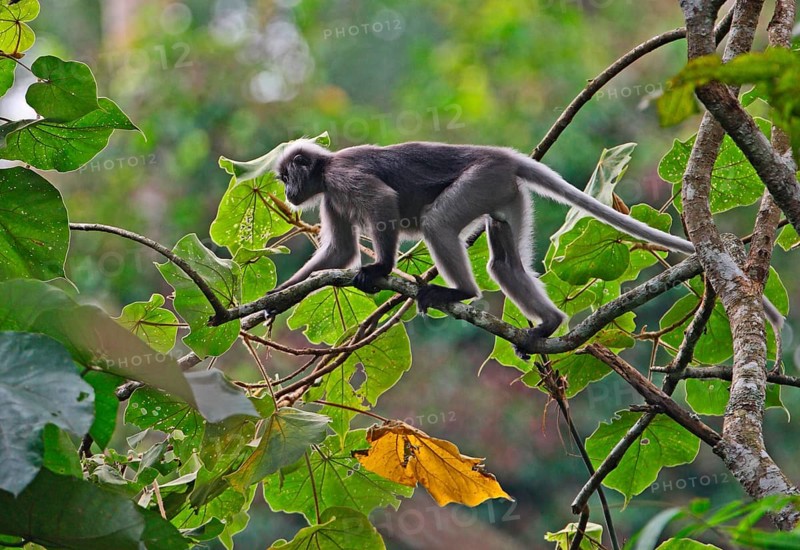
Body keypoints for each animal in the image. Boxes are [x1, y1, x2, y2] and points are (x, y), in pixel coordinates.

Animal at [273, 139, 784, 341]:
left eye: (284, 178)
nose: (289, 193)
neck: (324, 170)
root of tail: (500, 155)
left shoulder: (344, 178)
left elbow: (383, 204)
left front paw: (378, 268)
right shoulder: (330, 197)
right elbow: (339, 251)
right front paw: (274, 301)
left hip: (481, 179)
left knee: (438, 223)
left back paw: (460, 291)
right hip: (505, 194)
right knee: (504, 265)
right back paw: (550, 323)